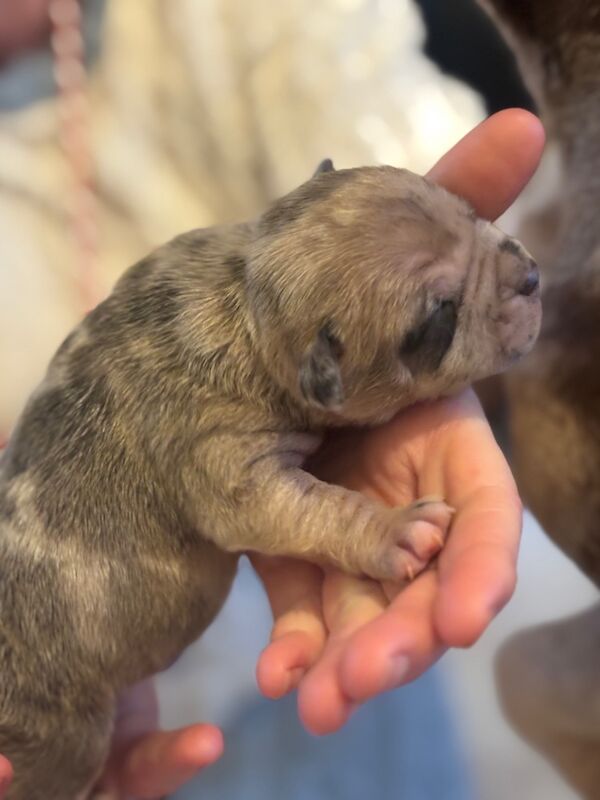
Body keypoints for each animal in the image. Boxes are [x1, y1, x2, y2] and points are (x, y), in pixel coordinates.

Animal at [0, 159, 540, 796]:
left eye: (470, 212)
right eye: (442, 316)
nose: (532, 276)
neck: (246, 298)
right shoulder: (225, 457)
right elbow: (305, 508)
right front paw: (394, 532)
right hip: (58, 736)